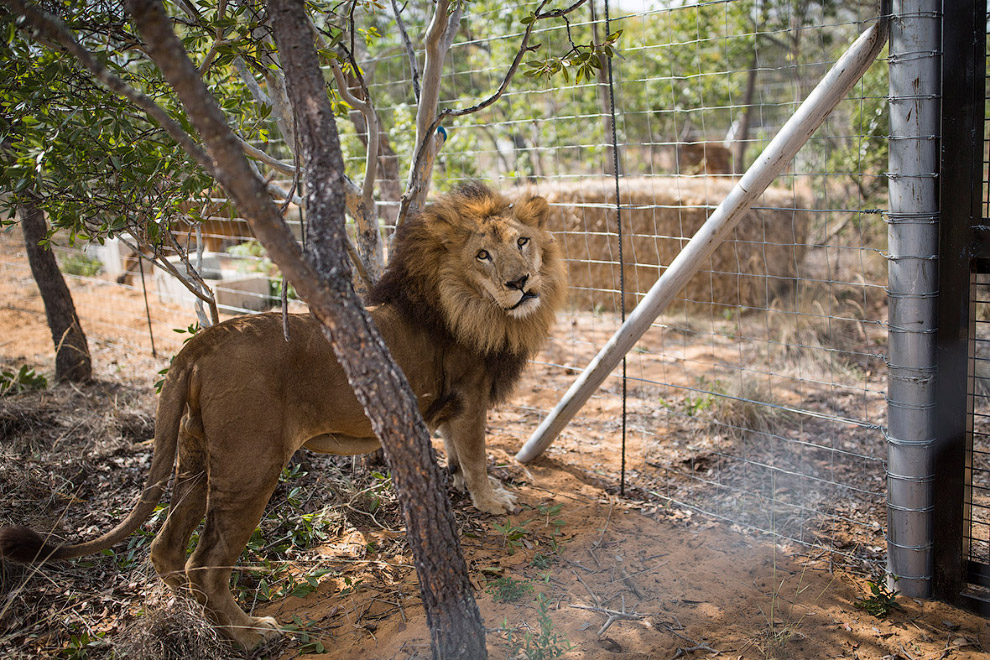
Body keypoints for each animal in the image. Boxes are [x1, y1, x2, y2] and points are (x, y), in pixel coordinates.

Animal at [0, 183, 564, 648]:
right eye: (482, 254)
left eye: (523, 242)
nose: (520, 282)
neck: (468, 304)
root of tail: (204, 341)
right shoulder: (469, 397)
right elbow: (474, 454)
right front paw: (493, 500)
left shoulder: (449, 405)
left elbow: (455, 452)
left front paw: (468, 486)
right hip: (252, 465)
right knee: (205, 564)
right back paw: (249, 635)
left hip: (199, 459)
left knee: (165, 549)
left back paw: (194, 624)